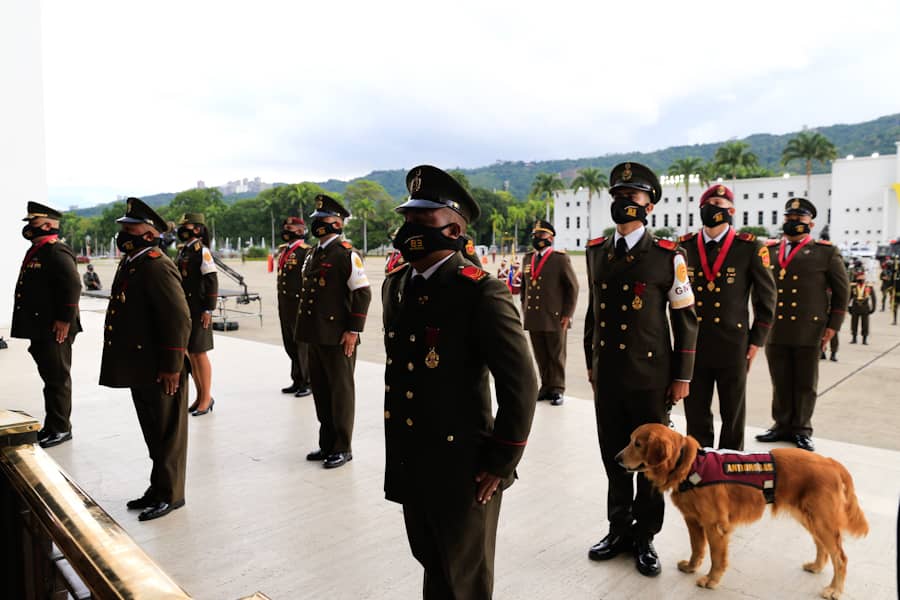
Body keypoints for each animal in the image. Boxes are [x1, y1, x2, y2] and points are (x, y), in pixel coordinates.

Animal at [616, 424, 868, 599]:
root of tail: (831, 462)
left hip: (821, 519)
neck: (688, 466)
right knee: (823, 547)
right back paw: (816, 567)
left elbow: (716, 557)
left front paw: (711, 579)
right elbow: (697, 548)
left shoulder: (715, 525)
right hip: (811, 518)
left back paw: (834, 590)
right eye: (630, 440)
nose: (616, 459)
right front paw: (691, 567)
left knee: (840, 557)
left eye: (637, 443)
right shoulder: (693, 520)